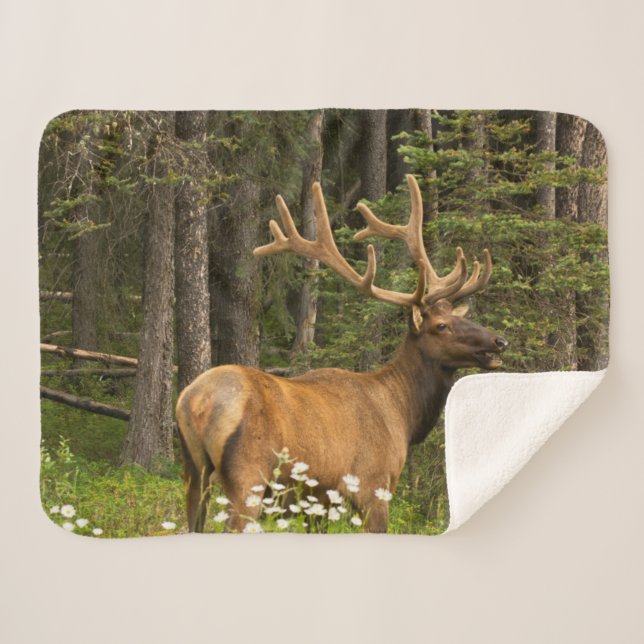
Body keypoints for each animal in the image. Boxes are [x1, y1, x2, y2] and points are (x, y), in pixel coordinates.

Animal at [176, 174, 508, 533]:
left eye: (461, 317)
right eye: (442, 326)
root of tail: (196, 402)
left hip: (193, 474)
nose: (498, 341)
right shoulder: (373, 485)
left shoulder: (317, 502)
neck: (403, 414)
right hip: (247, 475)